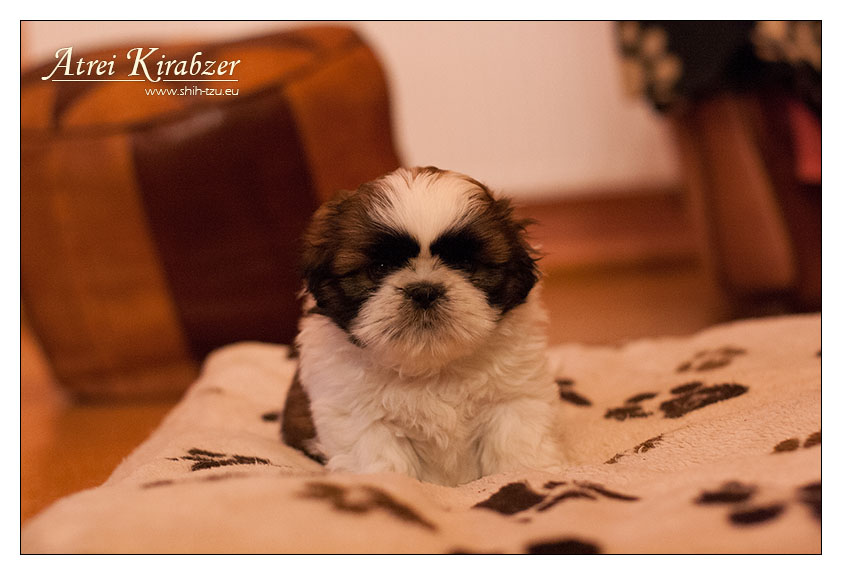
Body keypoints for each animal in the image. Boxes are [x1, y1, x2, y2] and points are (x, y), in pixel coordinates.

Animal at [282, 166, 563, 486]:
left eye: (465, 264)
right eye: (379, 268)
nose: (425, 291)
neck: (432, 367)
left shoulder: (515, 399)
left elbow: (517, 444)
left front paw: (529, 475)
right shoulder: (359, 417)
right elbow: (380, 460)